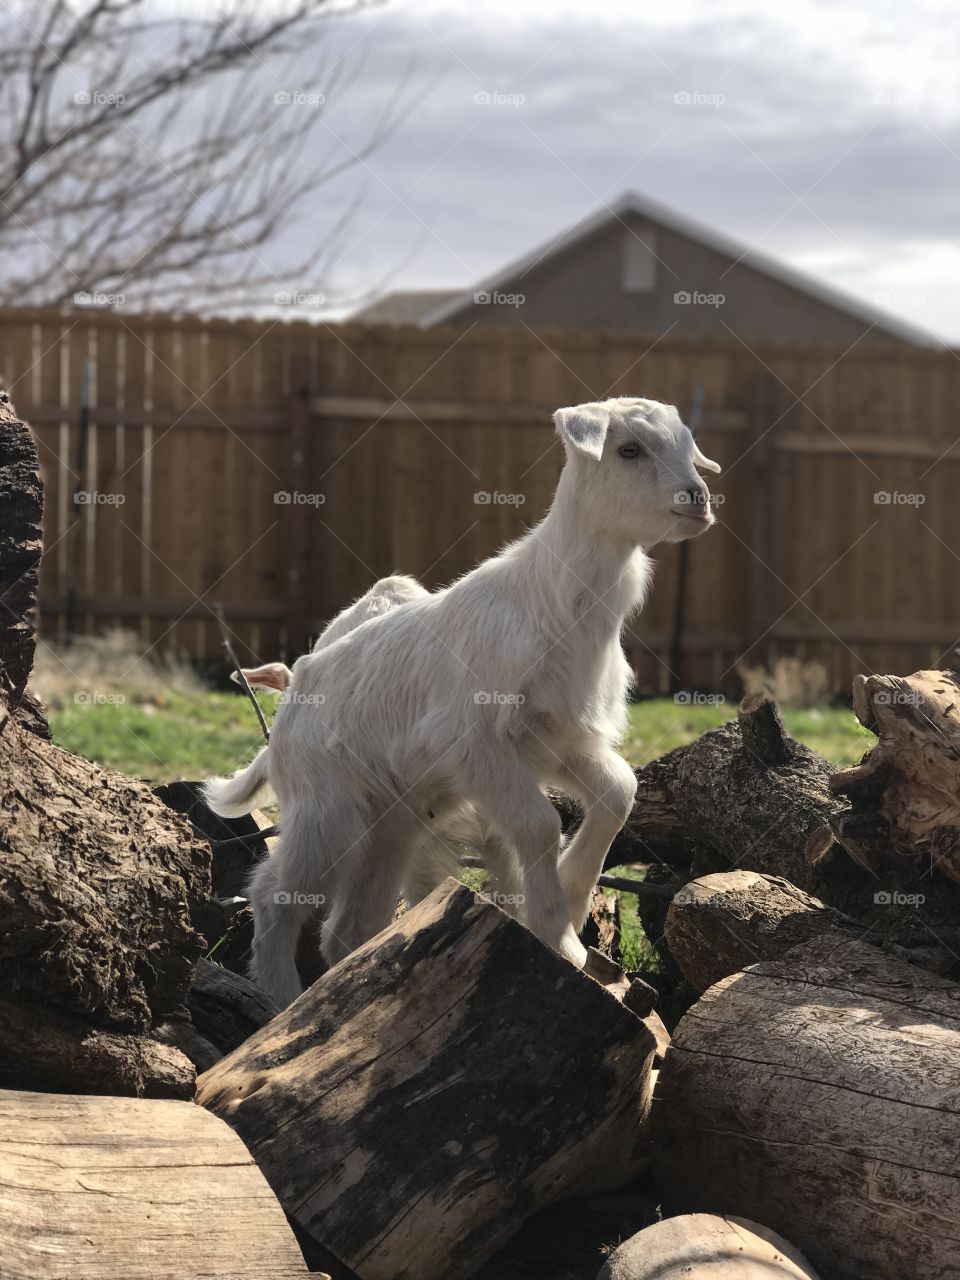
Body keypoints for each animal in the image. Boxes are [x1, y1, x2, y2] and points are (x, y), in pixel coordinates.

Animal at [208, 394, 721, 1003]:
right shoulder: (476, 745)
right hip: (326, 809)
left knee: (349, 926)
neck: (554, 603)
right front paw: (559, 936)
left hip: (391, 824)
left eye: (689, 447)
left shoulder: (559, 740)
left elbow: (619, 793)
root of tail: (287, 709)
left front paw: (573, 901)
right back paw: (283, 999)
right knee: (273, 896)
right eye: (629, 450)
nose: (699, 499)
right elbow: (538, 824)